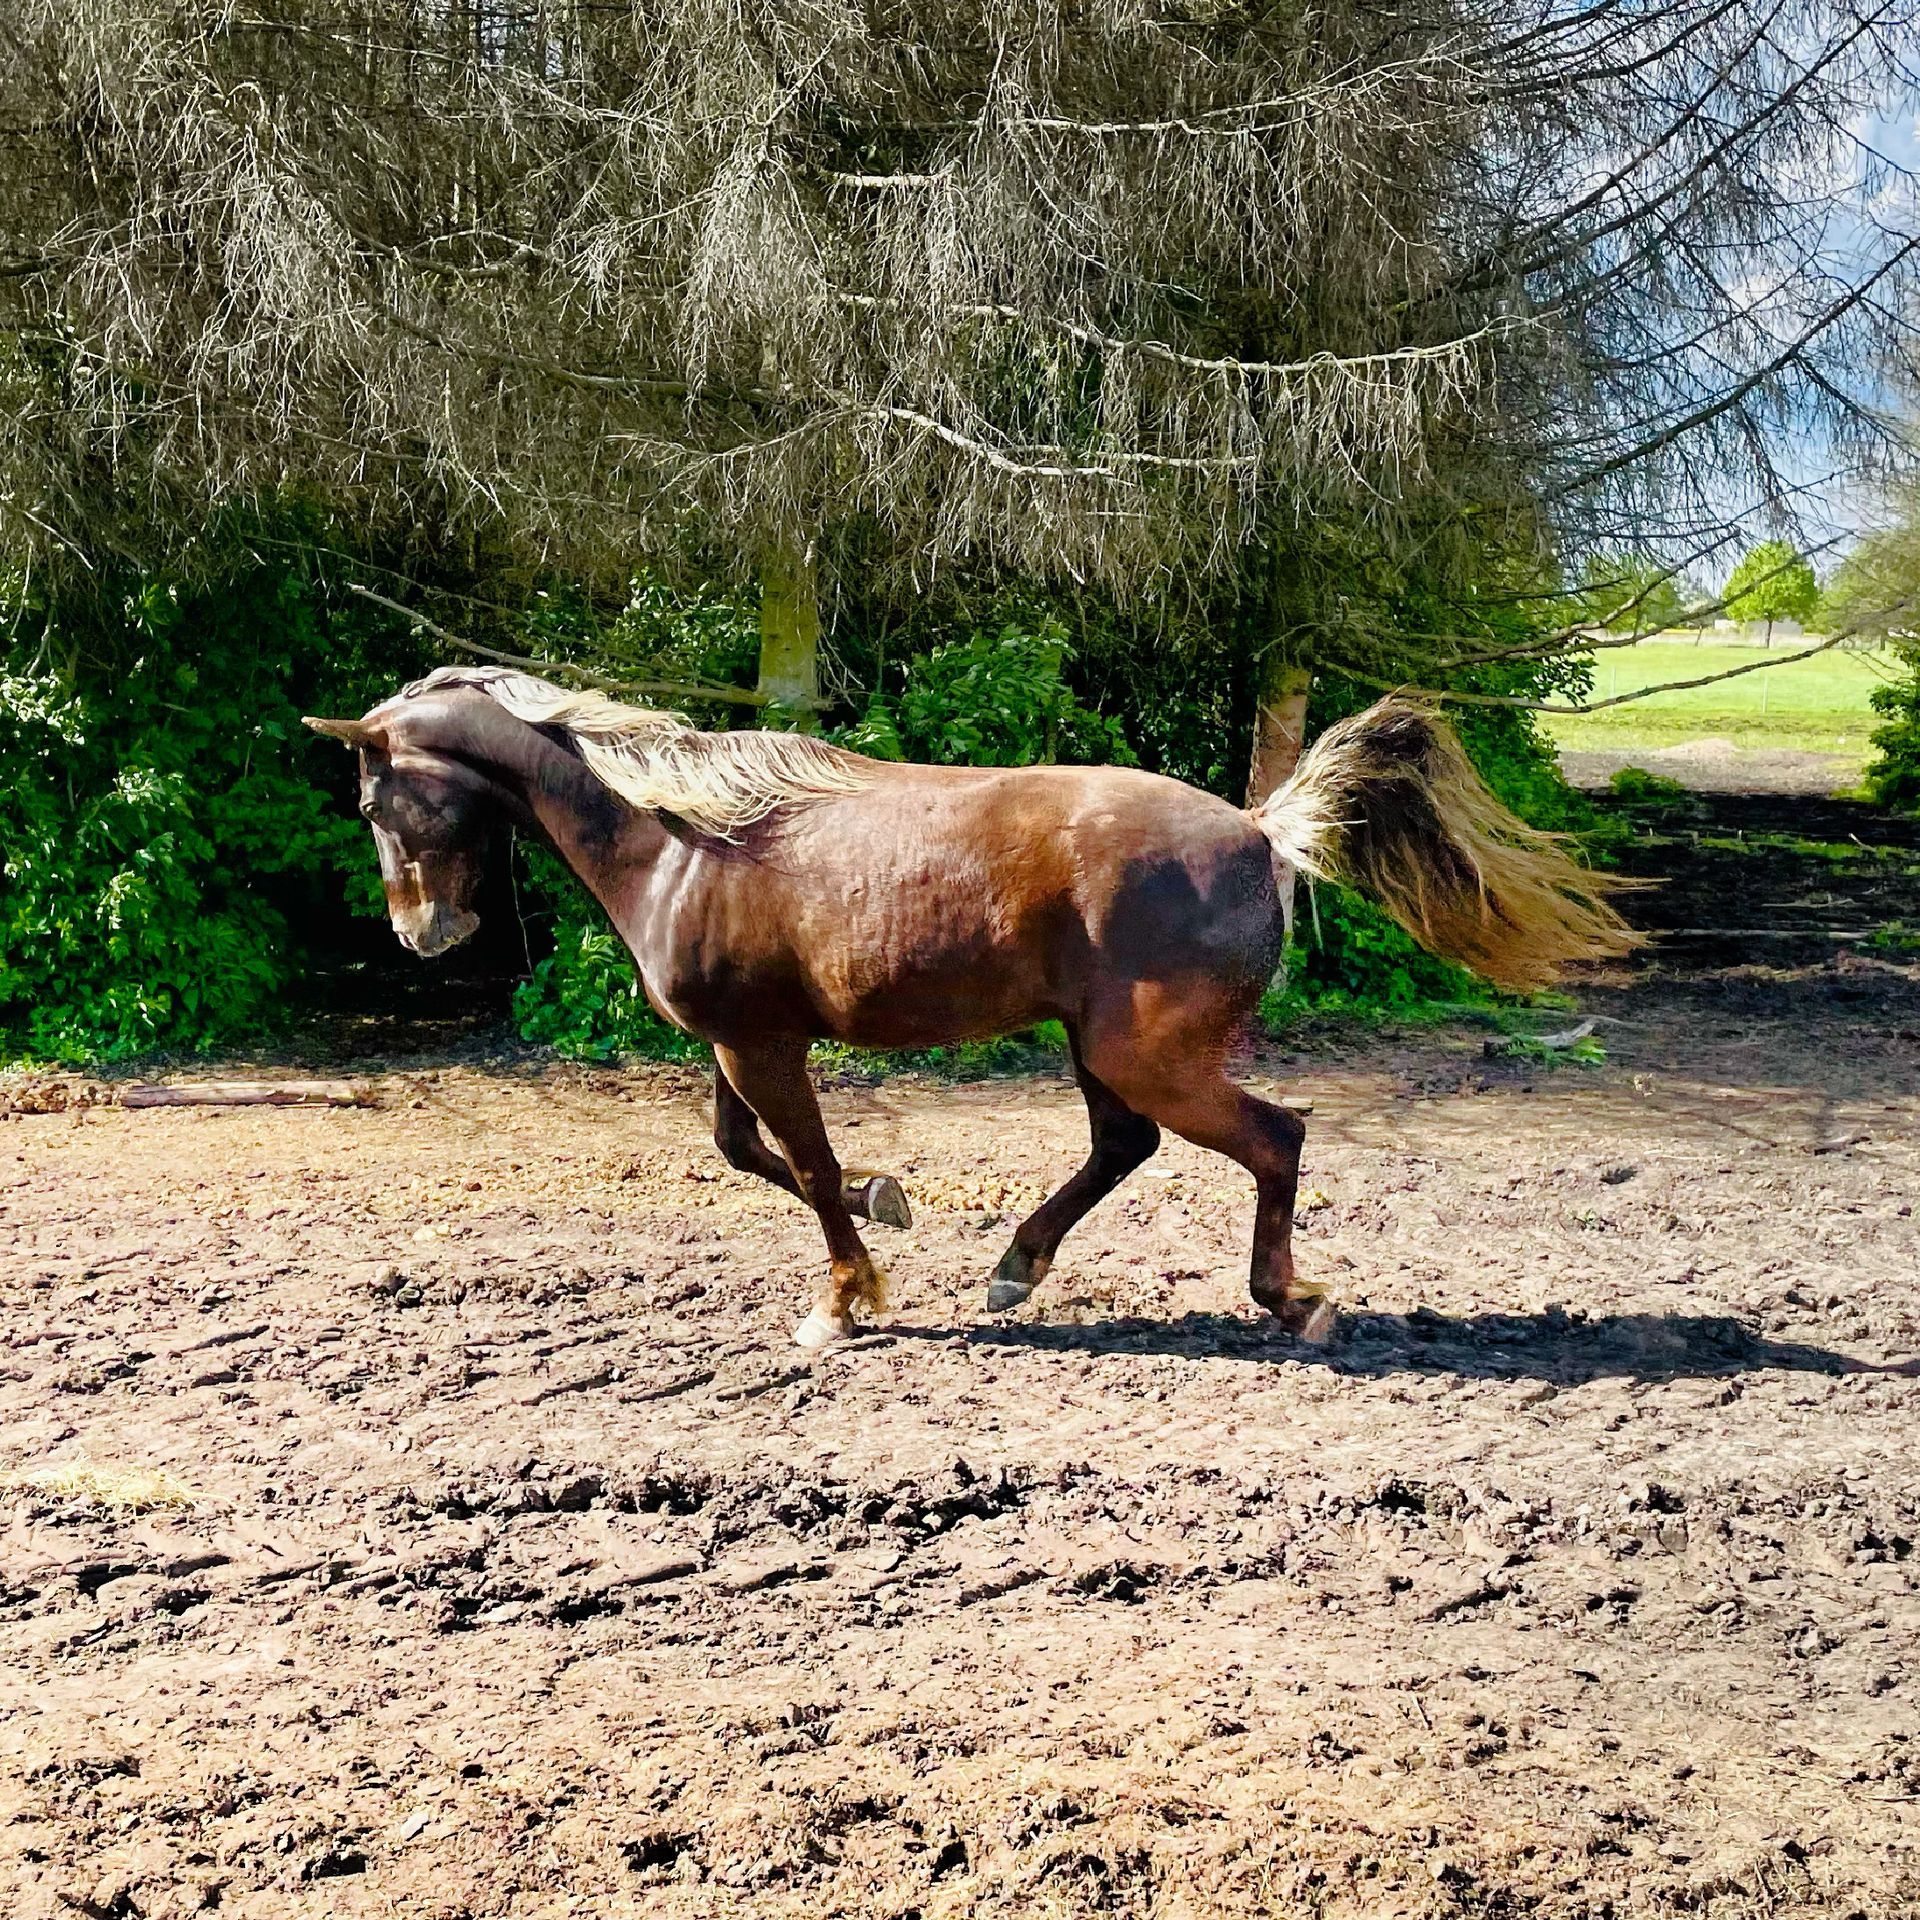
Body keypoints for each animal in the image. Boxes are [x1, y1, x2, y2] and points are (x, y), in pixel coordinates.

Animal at [306, 666, 1636, 1349]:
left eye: (374, 804)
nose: (422, 935)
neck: (682, 839)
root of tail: (1263, 832)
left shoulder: (761, 1043)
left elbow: (800, 1157)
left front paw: (843, 1301)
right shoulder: (737, 1042)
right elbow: (746, 1152)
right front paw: (886, 1206)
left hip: (1144, 1051)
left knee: (1274, 1138)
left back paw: (1294, 1304)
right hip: (1097, 1044)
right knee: (1125, 1147)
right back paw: (1015, 1271)